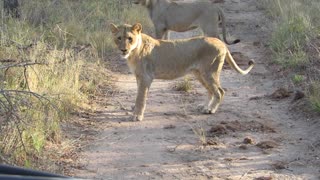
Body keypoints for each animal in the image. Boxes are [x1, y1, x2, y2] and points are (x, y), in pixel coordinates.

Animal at [109, 22, 254, 121]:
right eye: (119, 38)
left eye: (129, 38)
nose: (123, 50)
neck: (133, 53)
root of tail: (221, 42)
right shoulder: (138, 77)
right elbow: (139, 96)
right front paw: (135, 111)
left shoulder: (146, 77)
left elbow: (141, 97)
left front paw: (137, 116)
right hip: (199, 73)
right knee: (210, 90)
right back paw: (204, 107)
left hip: (209, 72)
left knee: (220, 91)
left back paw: (210, 110)